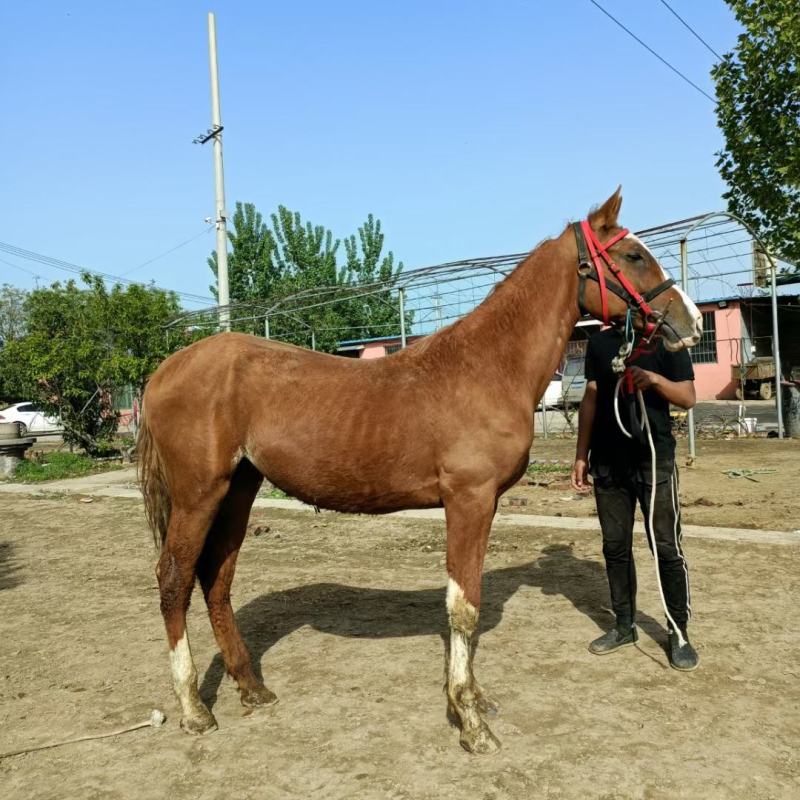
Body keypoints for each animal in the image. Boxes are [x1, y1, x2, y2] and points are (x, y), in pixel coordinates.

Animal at [138, 189, 702, 754]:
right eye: (632, 254)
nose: (692, 321)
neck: (487, 367)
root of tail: (164, 370)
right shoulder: (468, 499)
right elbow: (463, 606)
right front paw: (470, 723)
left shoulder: (484, 504)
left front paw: (475, 701)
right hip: (199, 494)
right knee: (174, 579)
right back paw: (193, 709)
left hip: (239, 488)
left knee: (216, 579)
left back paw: (252, 687)